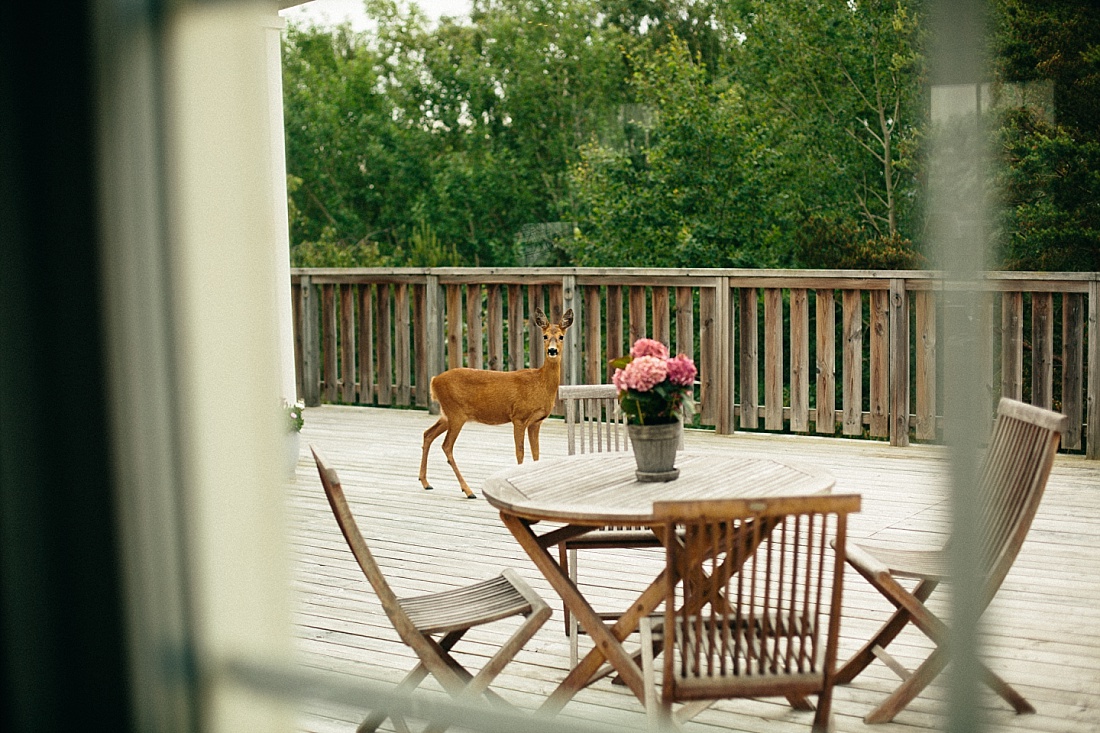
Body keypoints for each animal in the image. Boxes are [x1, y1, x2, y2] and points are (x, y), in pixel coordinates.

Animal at [415, 305, 576, 499]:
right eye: (544, 336)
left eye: (561, 336)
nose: (552, 351)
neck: (540, 384)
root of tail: (434, 381)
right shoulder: (519, 417)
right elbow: (520, 452)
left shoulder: (536, 422)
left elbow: (536, 454)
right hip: (456, 413)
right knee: (447, 446)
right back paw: (468, 490)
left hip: (447, 414)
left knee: (428, 434)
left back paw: (426, 482)